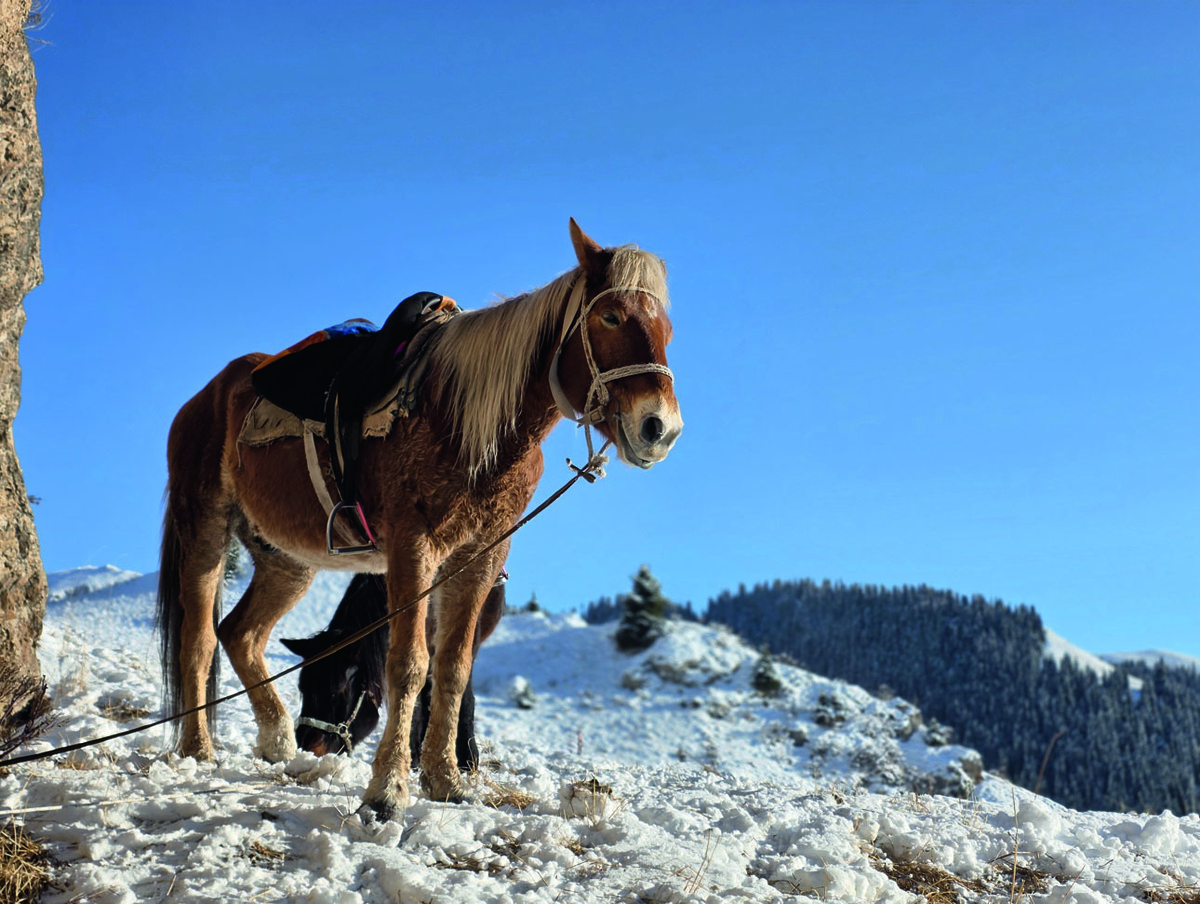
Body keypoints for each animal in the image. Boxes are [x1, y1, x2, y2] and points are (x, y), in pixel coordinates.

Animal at [279, 569, 506, 765]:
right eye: (303, 690)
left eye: (336, 692)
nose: (307, 748)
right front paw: (412, 757)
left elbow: (464, 697)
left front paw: (468, 760)